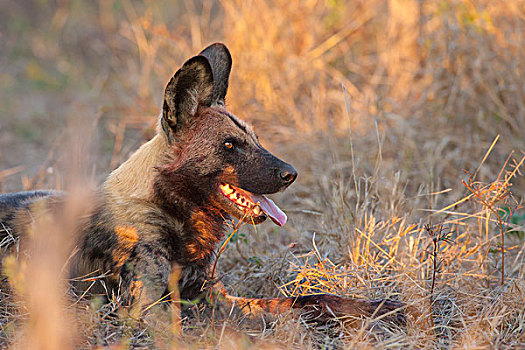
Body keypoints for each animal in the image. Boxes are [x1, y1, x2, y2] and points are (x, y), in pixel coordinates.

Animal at [0, 43, 404, 326]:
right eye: (229, 146)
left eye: (255, 140)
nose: (291, 173)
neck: (174, 213)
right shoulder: (146, 311)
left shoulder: (216, 298)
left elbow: (312, 299)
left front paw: (381, 307)